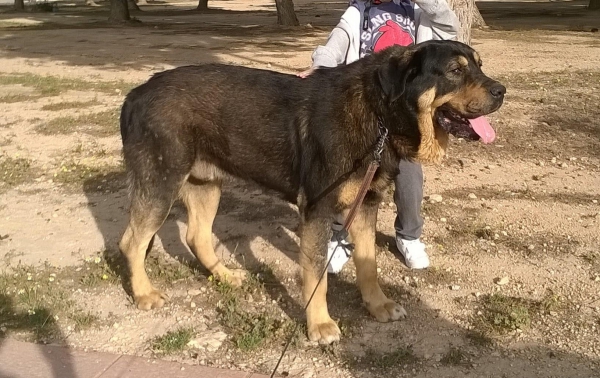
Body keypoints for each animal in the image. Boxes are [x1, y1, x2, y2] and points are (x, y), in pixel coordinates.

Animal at [119, 39, 504, 344]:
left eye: (480, 65)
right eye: (454, 70)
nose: (502, 90)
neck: (379, 112)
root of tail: (136, 93)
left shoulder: (366, 205)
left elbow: (368, 264)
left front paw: (377, 305)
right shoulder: (317, 210)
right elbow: (317, 274)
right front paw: (319, 325)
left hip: (206, 185)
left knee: (196, 235)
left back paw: (226, 276)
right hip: (161, 185)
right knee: (132, 242)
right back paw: (144, 293)